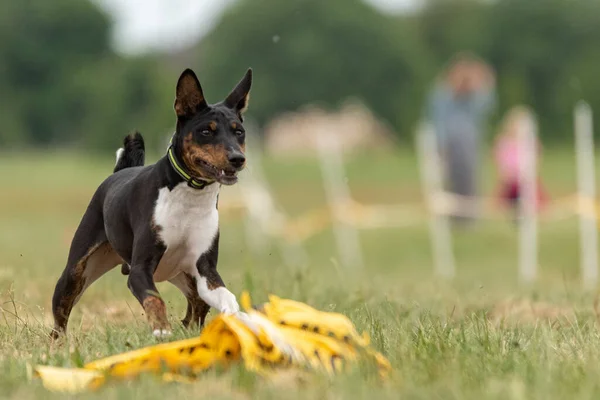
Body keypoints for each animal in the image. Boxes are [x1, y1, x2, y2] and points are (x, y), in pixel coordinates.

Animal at [48, 68, 251, 338]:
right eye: (207, 132)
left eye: (238, 132)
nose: (237, 158)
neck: (189, 197)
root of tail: (121, 171)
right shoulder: (139, 270)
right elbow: (155, 299)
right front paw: (161, 330)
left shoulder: (205, 271)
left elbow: (228, 298)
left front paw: (242, 321)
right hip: (75, 274)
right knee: (59, 322)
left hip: (183, 276)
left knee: (194, 312)